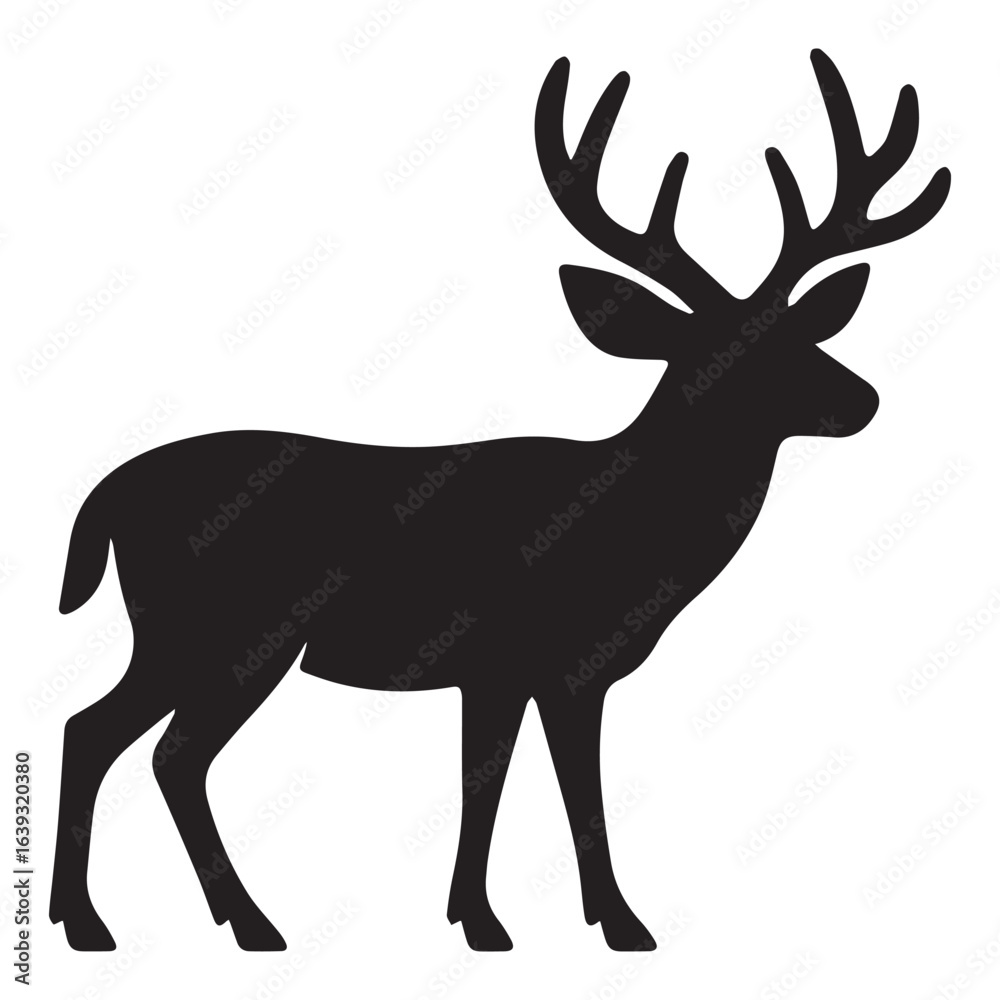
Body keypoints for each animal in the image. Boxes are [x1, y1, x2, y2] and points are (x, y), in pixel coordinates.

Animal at [50, 49, 949, 954]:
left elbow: (486, 784)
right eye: (726, 352)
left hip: (186, 637)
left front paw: (477, 917)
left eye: (802, 331)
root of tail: (104, 496)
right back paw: (202, 921)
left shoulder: (494, 672)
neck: (629, 531)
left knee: (108, 735)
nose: (864, 399)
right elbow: (562, 789)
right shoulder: (553, 661)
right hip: (224, 632)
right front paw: (610, 924)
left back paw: (110, 918)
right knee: (155, 749)